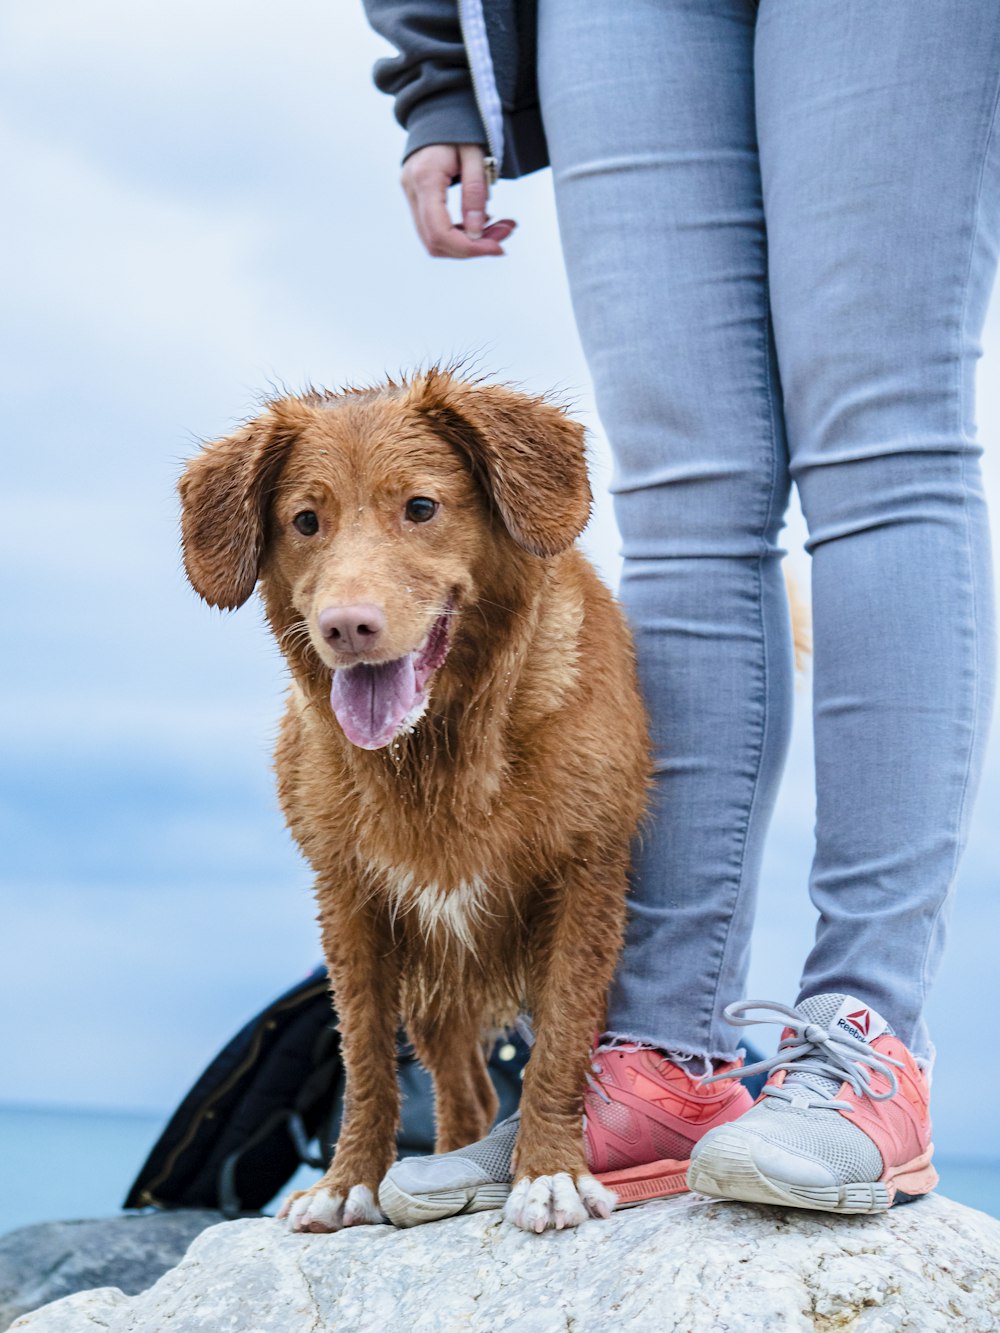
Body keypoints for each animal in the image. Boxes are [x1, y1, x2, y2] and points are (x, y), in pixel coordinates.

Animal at [178, 370, 650, 1231]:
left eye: (422, 507)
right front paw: (347, 1182)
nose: (347, 626)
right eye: (306, 520)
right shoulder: (350, 897)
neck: (436, 752)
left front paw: (550, 1171)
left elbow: (563, 1041)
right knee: (466, 1096)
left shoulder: (585, 879)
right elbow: (363, 1057)